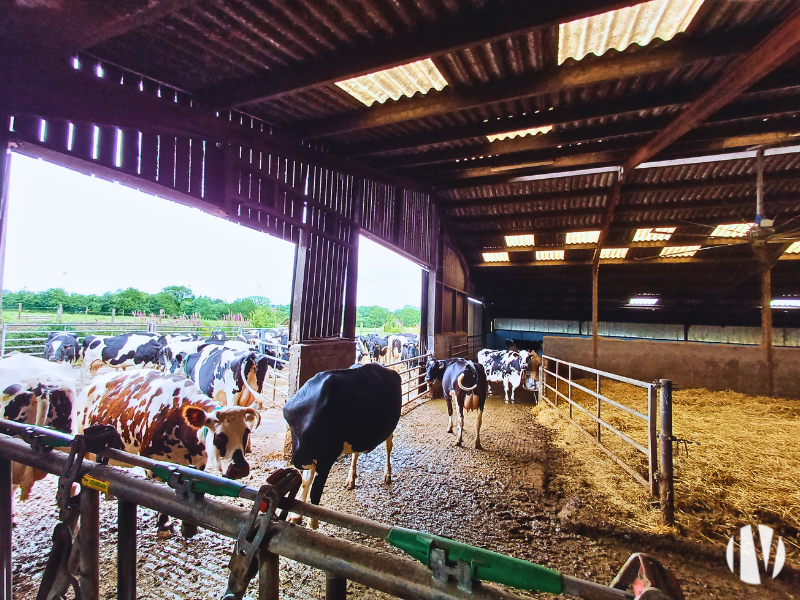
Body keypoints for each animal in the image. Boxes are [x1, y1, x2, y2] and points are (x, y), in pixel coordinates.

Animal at [80, 370, 260, 540]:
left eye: (246, 433)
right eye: (219, 437)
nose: (240, 468)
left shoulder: (199, 463)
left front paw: (188, 526)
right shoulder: (154, 464)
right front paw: (163, 525)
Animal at [284, 360, 404, 524]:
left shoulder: (326, 456)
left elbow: (315, 491)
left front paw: (312, 523)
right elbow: (305, 482)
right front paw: (296, 515)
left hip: (389, 427)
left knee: (388, 447)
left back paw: (387, 474)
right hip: (358, 435)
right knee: (356, 453)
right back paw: (351, 478)